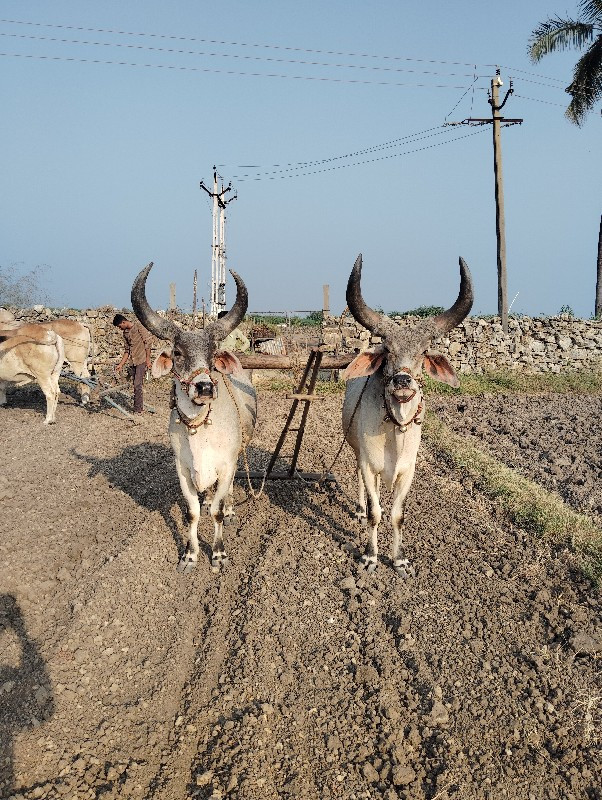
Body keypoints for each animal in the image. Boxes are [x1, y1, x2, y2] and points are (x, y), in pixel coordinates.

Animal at [131, 266, 255, 572]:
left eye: (212, 354)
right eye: (177, 352)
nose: (205, 388)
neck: (200, 433)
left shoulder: (226, 464)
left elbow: (217, 512)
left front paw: (219, 554)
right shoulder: (183, 470)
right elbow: (192, 513)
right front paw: (189, 555)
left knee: (227, 492)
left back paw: (231, 508)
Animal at [340, 255, 472, 576]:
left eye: (424, 351)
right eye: (387, 350)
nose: (402, 381)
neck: (396, 429)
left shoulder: (407, 472)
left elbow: (397, 515)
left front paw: (399, 560)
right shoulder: (369, 465)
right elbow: (376, 513)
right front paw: (370, 556)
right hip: (356, 451)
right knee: (361, 484)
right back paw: (359, 509)